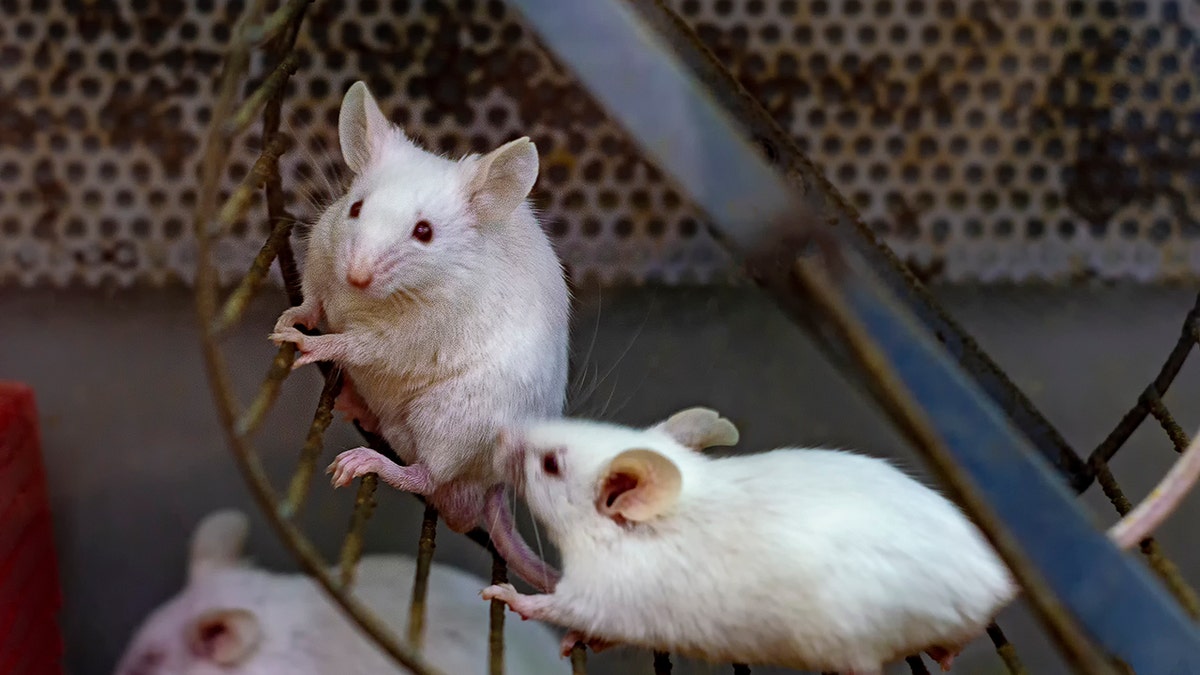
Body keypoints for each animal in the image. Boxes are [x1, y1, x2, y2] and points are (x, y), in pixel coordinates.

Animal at [268, 81, 570, 585]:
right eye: (355, 208)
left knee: (429, 478)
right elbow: (312, 301)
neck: (367, 299)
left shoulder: (410, 336)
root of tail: (495, 484)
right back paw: (356, 406)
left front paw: (310, 342)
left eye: (424, 232)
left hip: (448, 419)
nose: (356, 276)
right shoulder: (321, 259)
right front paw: (290, 317)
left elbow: (354, 344)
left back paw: (368, 461)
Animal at [479, 413, 1200, 673]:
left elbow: (555, 606)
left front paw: (507, 594)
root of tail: (995, 571)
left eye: (549, 464)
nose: (504, 428)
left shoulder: (603, 591)